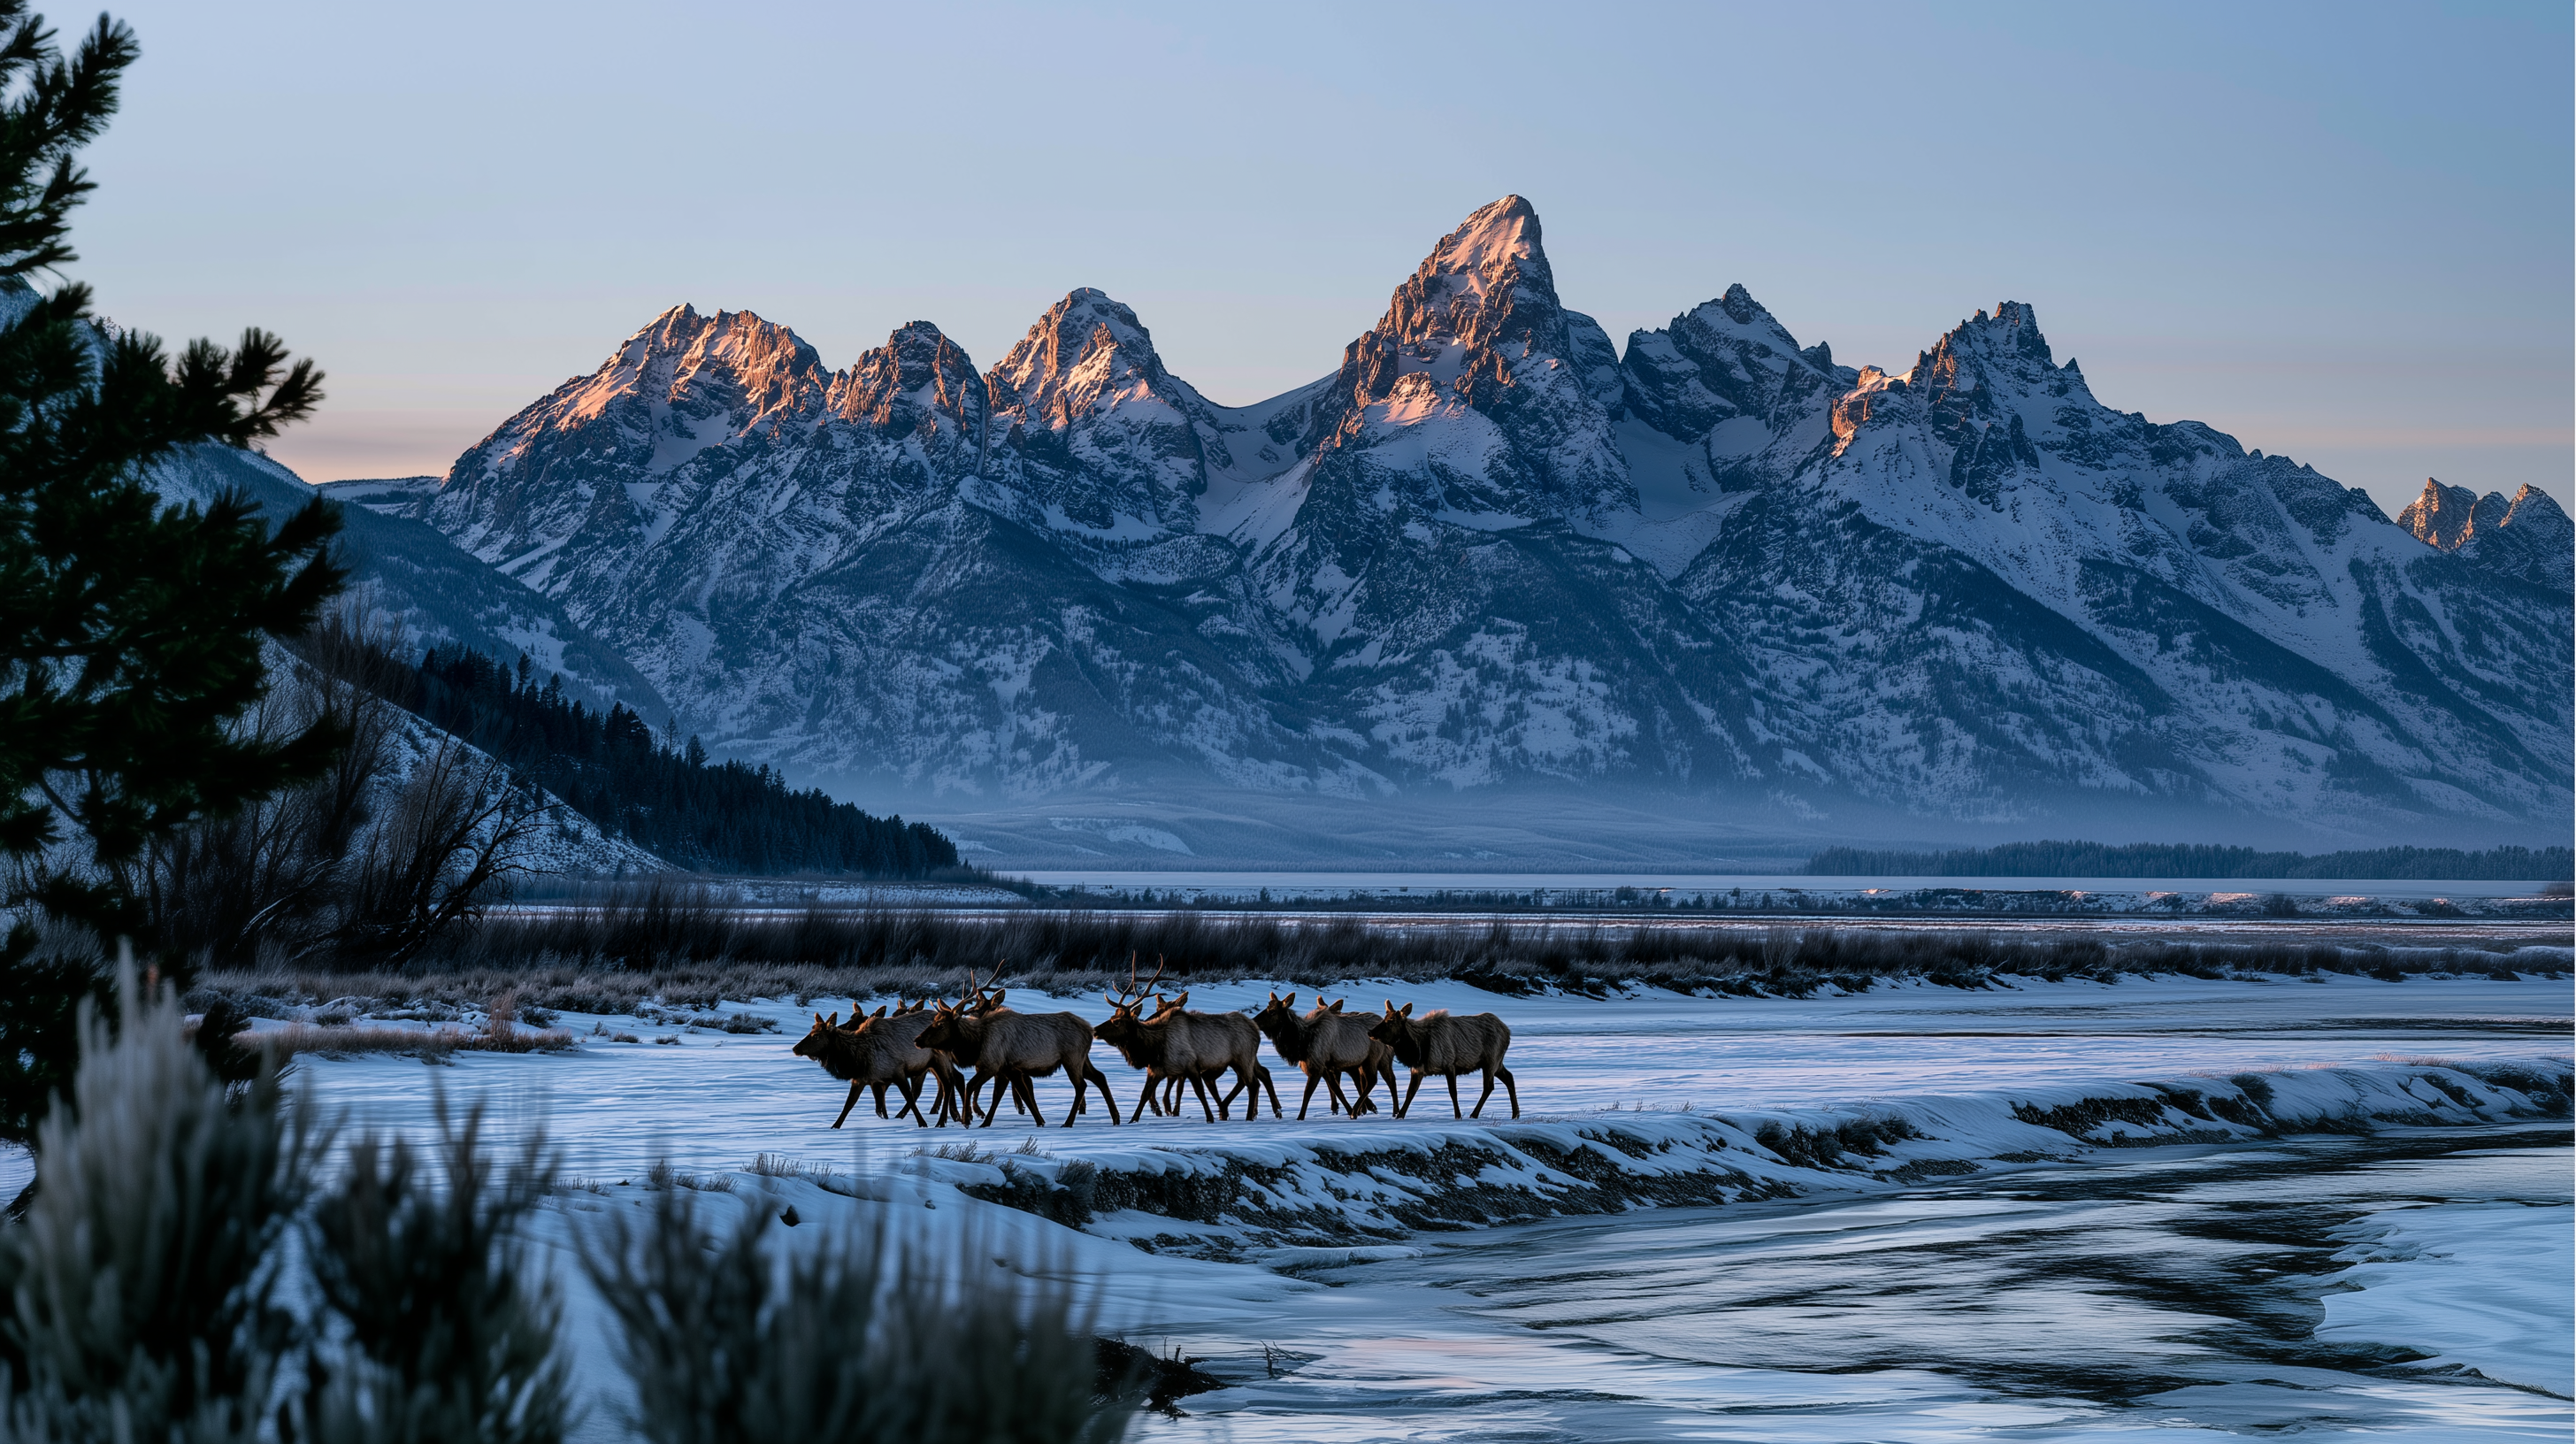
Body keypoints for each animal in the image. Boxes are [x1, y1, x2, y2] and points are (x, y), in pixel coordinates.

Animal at [913, 980, 1122, 1129]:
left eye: (940, 1025)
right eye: (934, 1020)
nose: (917, 1040)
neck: (975, 1044)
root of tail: (1089, 1030)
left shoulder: (992, 1065)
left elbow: (973, 1086)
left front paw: (968, 1120)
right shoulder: (1008, 1069)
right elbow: (1011, 1095)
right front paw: (1037, 1120)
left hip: (1072, 1058)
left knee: (1081, 1085)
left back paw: (1068, 1122)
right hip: (1083, 1059)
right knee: (1100, 1077)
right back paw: (1116, 1117)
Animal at [1251, 992, 1394, 1121]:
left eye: (1272, 1011)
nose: (1253, 1021)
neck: (1301, 1042)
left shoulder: (1317, 1066)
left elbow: (1308, 1092)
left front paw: (1300, 1117)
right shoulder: (1326, 1068)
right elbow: (1337, 1089)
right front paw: (1348, 1110)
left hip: (1371, 1058)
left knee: (1373, 1081)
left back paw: (1362, 1109)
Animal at [1369, 1000, 1519, 1119]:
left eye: (1390, 1021)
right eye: (1384, 1018)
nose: (1370, 1032)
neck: (1418, 1049)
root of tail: (1508, 1032)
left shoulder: (1449, 1064)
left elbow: (1453, 1092)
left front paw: (1458, 1115)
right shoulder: (1418, 1069)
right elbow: (1410, 1093)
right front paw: (1400, 1115)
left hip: (1491, 1060)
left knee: (1489, 1086)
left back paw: (1474, 1114)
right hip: (1497, 1062)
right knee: (1509, 1077)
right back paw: (1515, 1114)